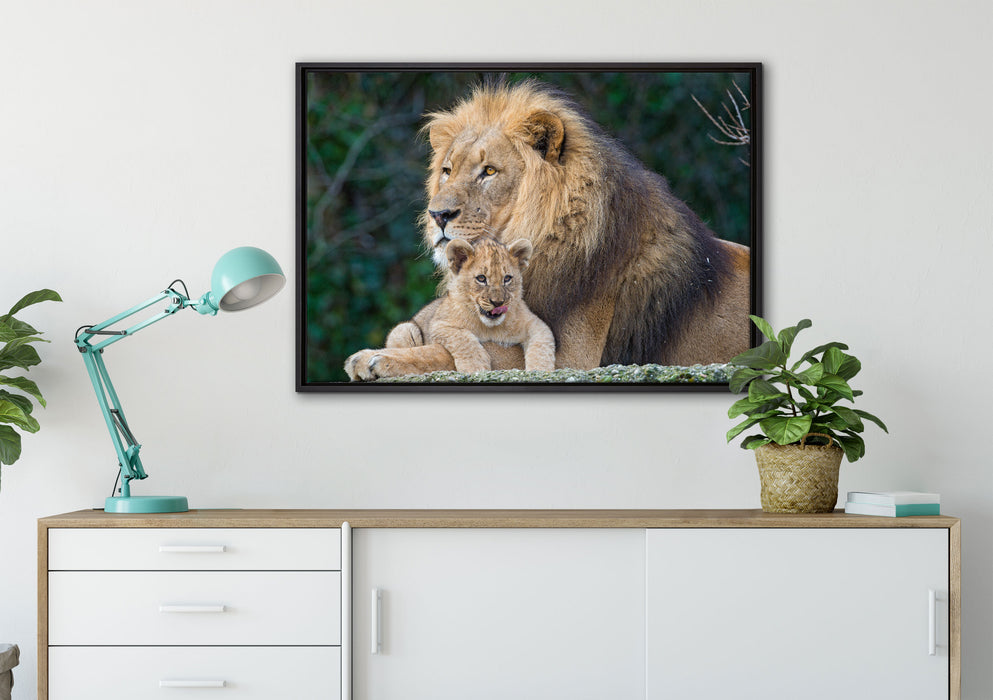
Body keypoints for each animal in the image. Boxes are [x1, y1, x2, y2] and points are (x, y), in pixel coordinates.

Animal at [345, 79, 751, 380]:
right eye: (447, 171)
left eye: (488, 171)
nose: (438, 215)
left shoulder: (572, 356)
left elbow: (457, 350)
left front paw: (374, 357)